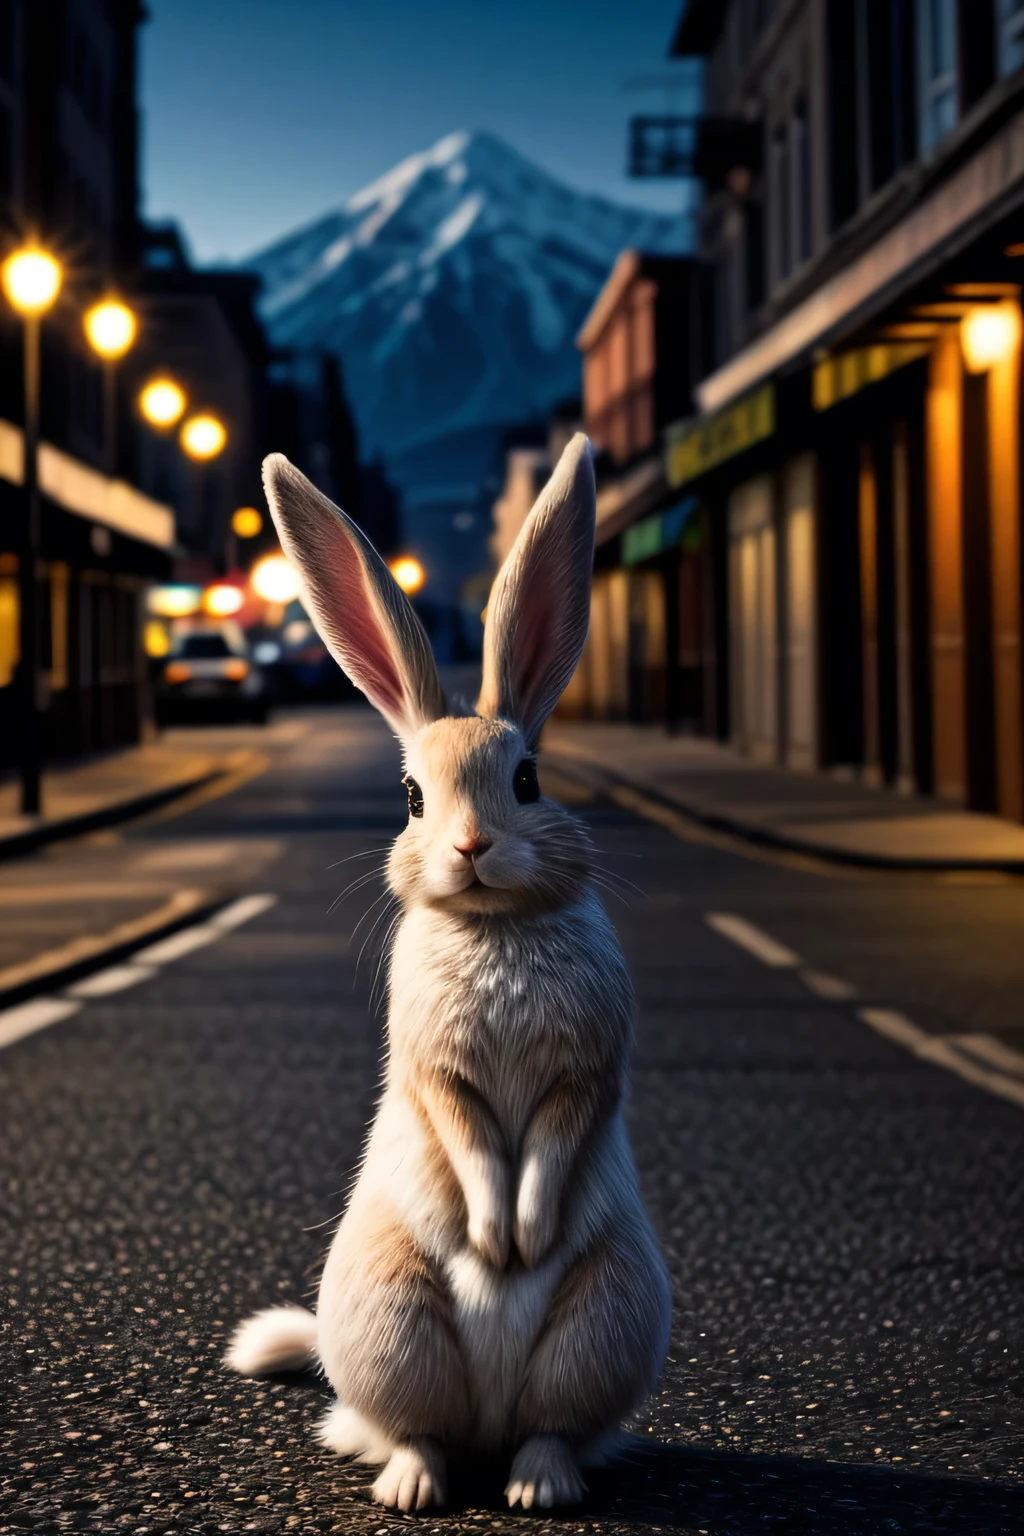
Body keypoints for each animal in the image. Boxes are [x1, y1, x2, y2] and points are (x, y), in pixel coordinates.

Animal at [224, 433, 672, 1511]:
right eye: (412, 796)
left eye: (529, 780)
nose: (471, 848)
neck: (492, 927)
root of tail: (488, 1427)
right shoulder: (440, 1071)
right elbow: (469, 1139)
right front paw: (496, 1244)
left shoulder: (583, 1071)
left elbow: (549, 1141)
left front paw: (520, 1244)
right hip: (393, 1317)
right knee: (410, 1432)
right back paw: (416, 1486)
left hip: (607, 1315)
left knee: (549, 1430)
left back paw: (538, 1487)